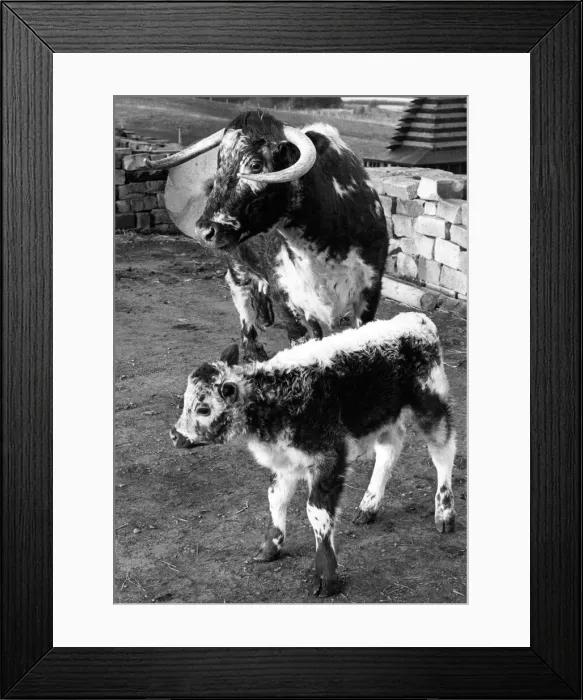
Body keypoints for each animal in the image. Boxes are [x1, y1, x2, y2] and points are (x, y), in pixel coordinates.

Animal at [147, 110, 389, 361]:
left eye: (255, 165)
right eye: (220, 163)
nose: (204, 231)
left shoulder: (370, 292)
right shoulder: (287, 299)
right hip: (236, 263)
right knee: (240, 292)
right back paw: (253, 347)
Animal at [170, 312, 456, 597]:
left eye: (204, 409)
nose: (174, 434)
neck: (275, 396)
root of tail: (416, 319)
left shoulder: (328, 459)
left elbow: (317, 512)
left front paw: (326, 576)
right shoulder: (284, 460)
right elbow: (276, 499)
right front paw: (271, 546)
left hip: (431, 405)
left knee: (443, 452)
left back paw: (444, 513)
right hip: (385, 415)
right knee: (389, 450)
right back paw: (369, 506)